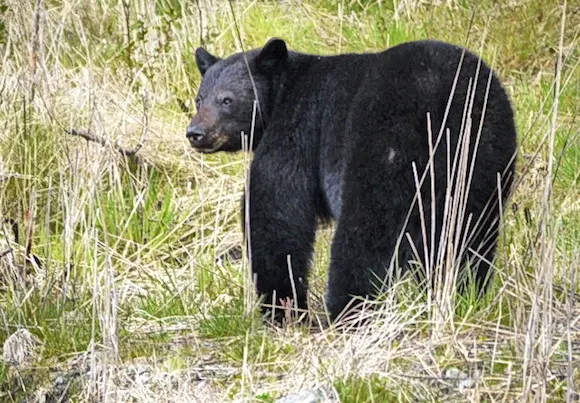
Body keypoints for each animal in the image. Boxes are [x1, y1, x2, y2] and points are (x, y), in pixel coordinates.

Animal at [186, 38, 516, 322]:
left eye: (227, 100)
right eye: (199, 98)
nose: (195, 133)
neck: (283, 90)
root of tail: (443, 103)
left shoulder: (297, 129)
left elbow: (276, 211)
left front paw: (282, 307)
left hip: (382, 151)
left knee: (365, 235)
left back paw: (349, 309)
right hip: (482, 159)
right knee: (469, 236)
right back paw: (461, 294)